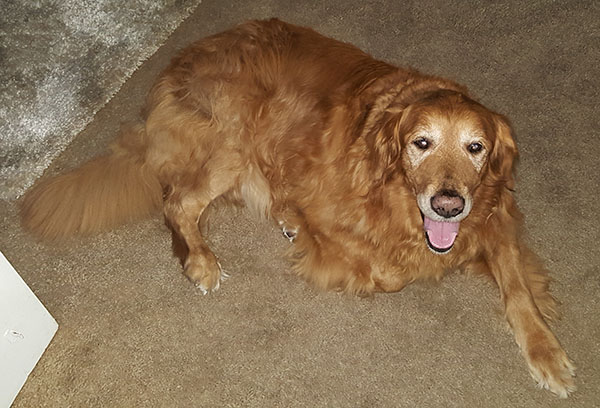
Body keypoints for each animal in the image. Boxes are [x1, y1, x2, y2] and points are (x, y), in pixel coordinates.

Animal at [20, 18, 575, 397]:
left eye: (475, 148)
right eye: (421, 143)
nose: (448, 205)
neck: (395, 196)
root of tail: (175, 68)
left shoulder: (495, 212)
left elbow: (517, 286)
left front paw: (546, 350)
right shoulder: (333, 209)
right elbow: (388, 273)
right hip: (236, 135)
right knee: (178, 202)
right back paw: (202, 259)